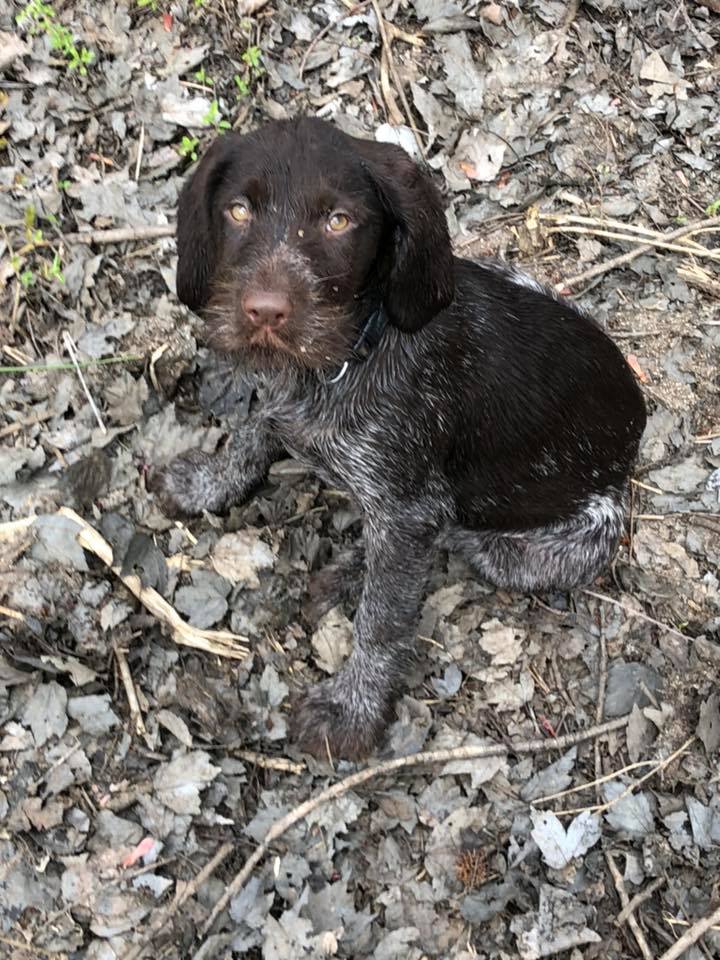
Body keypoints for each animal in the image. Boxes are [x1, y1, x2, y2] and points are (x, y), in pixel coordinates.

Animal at [152, 114, 648, 756]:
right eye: (238, 210)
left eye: (339, 221)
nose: (264, 312)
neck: (344, 357)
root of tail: (638, 420)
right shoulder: (276, 394)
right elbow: (249, 432)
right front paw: (209, 485)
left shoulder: (409, 510)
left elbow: (383, 622)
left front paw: (353, 708)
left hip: (547, 545)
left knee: (459, 539)